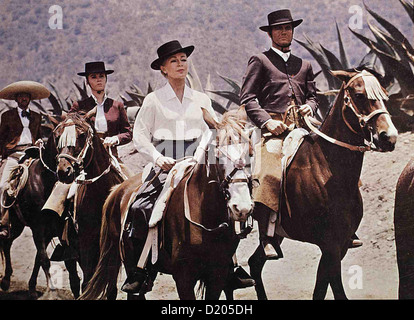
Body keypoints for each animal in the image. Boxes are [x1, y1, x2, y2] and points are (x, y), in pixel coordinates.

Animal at [48, 112, 126, 298]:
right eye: (56, 136)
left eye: (82, 135)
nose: (64, 171)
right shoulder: (86, 246)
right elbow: (86, 283)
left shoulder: (111, 251)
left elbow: (111, 288)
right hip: (70, 249)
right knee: (75, 281)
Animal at [79, 107, 254, 300]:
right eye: (217, 155)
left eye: (250, 153)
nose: (242, 207)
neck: (206, 220)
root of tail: (118, 190)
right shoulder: (184, 277)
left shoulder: (217, 275)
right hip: (129, 261)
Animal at [246, 68, 398, 300]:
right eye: (360, 95)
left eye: (384, 96)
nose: (389, 137)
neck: (326, 169)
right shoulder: (330, 246)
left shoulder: (339, 245)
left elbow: (321, 287)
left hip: (277, 235)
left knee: (255, 263)